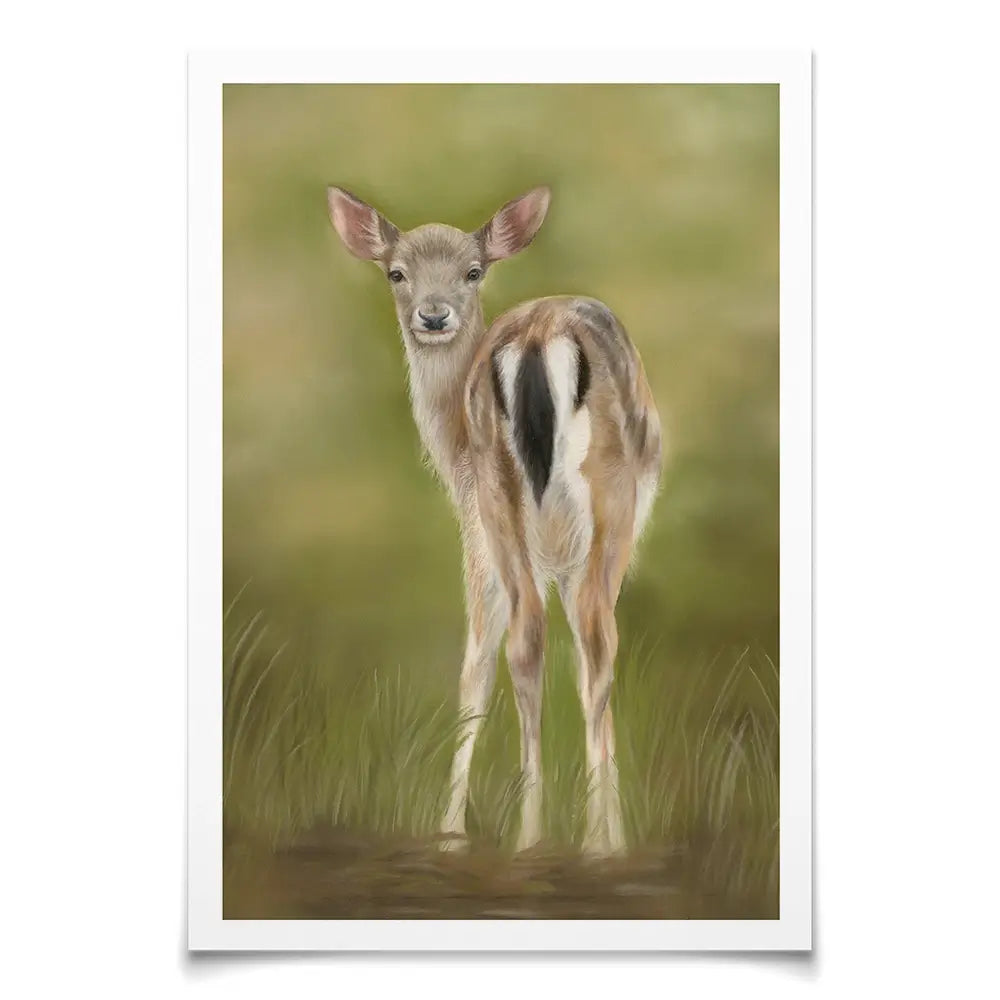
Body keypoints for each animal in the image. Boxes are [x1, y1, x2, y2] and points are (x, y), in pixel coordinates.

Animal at [326, 185, 662, 855]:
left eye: (472, 271)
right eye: (396, 272)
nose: (433, 316)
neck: (450, 451)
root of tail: (537, 338)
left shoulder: (493, 537)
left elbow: (485, 664)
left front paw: (450, 831)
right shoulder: (493, 541)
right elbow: (489, 666)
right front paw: (454, 829)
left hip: (508, 500)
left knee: (540, 639)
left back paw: (538, 836)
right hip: (592, 506)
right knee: (587, 641)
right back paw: (578, 842)